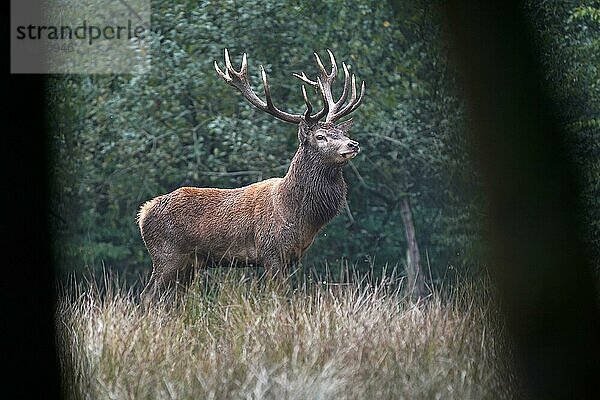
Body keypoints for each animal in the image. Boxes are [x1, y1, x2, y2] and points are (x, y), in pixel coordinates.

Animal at [139, 48, 366, 304]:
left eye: (341, 133)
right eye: (320, 136)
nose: (353, 144)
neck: (297, 214)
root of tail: (143, 213)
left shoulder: (292, 258)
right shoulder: (270, 252)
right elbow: (278, 297)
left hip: (189, 264)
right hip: (167, 255)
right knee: (148, 296)